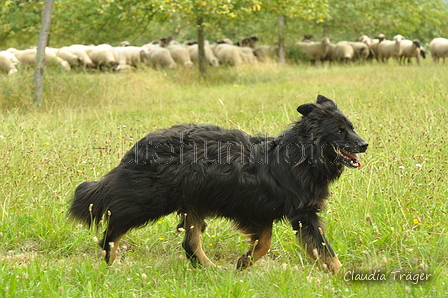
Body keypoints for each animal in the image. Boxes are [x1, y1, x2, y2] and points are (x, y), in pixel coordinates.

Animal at [67, 94, 368, 274]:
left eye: (352, 127)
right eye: (340, 131)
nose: (365, 144)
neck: (302, 155)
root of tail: (140, 145)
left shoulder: (261, 211)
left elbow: (265, 244)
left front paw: (243, 263)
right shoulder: (296, 213)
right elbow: (322, 249)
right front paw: (341, 277)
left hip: (193, 202)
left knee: (190, 244)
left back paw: (211, 270)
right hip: (150, 200)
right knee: (115, 221)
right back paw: (109, 257)